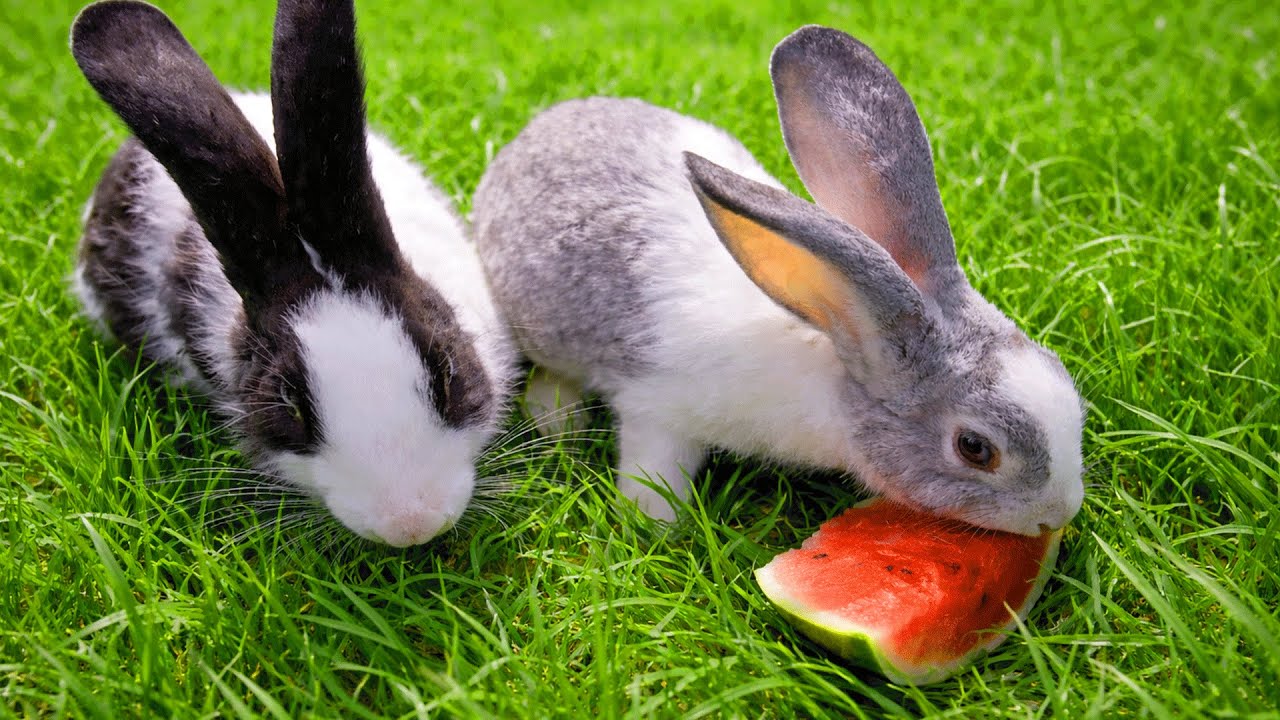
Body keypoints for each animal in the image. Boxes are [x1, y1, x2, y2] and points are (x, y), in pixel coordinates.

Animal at [472, 25, 1084, 536]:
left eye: (1061, 374)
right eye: (975, 447)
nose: (1058, 514)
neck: (834, 334)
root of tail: (528, 137)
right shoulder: (657, 409)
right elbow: (653, 473)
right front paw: (657, 528)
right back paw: (560, 419)